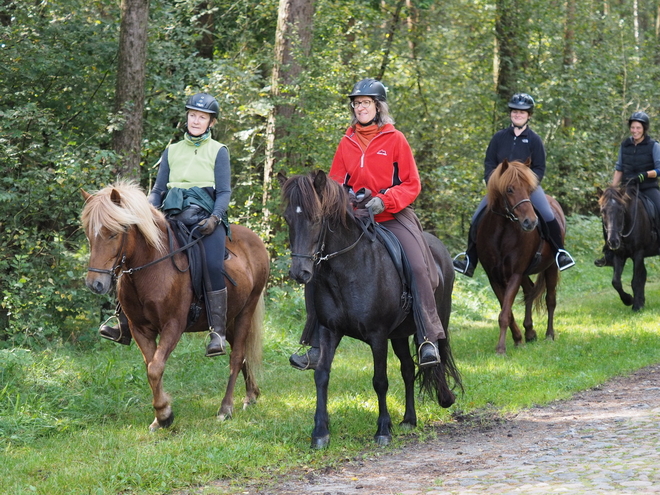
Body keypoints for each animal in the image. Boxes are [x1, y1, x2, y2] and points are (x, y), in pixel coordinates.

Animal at [82, 182, 268, 430]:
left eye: (113, 233)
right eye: (89, 234)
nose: (96, 284)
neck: (152, 266)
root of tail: (255, 240)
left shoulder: (173, 326)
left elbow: (155, 368)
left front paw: (163, 415)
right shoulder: (140, 329)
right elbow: (152, 367)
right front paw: (161, 416)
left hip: (246, 310)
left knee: (237, 356)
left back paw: (225, 408)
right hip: (228, 318)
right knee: (243, 354)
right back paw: (251, 395)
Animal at [278, 170, 458, 450]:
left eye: (316, 218)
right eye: (288, 218)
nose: (300, 273)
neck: (347, 269)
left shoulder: (377, 335)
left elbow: (380, 381)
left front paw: (383, 429)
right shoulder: (329, 331)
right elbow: (321, 375)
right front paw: (320, 432)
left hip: (437, 319)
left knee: (434, 356)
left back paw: (444, 397)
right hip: (399, 335)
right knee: (408, 369)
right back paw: (409, 419)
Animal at [476, 161, 564, 354]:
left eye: (529, 189)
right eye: (509, 189)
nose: (530, 222)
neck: (501, 233)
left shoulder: (515, 274)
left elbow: (505, 313)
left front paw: (501, 348)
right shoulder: (494, 278)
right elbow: (507, 311)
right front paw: (518, 339)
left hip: (551, 267)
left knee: (550, 300)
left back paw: (549, 335)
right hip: (525, 273)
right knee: (530, 292)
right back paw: (530, 332)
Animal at [600, 184, 660, 312]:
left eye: (621, 210)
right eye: (602, 211)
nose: (613, 241)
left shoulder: (638, 253)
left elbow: (636, 280)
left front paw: (636, 305)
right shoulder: (619, 255)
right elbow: (616, 282)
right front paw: (629, 300)